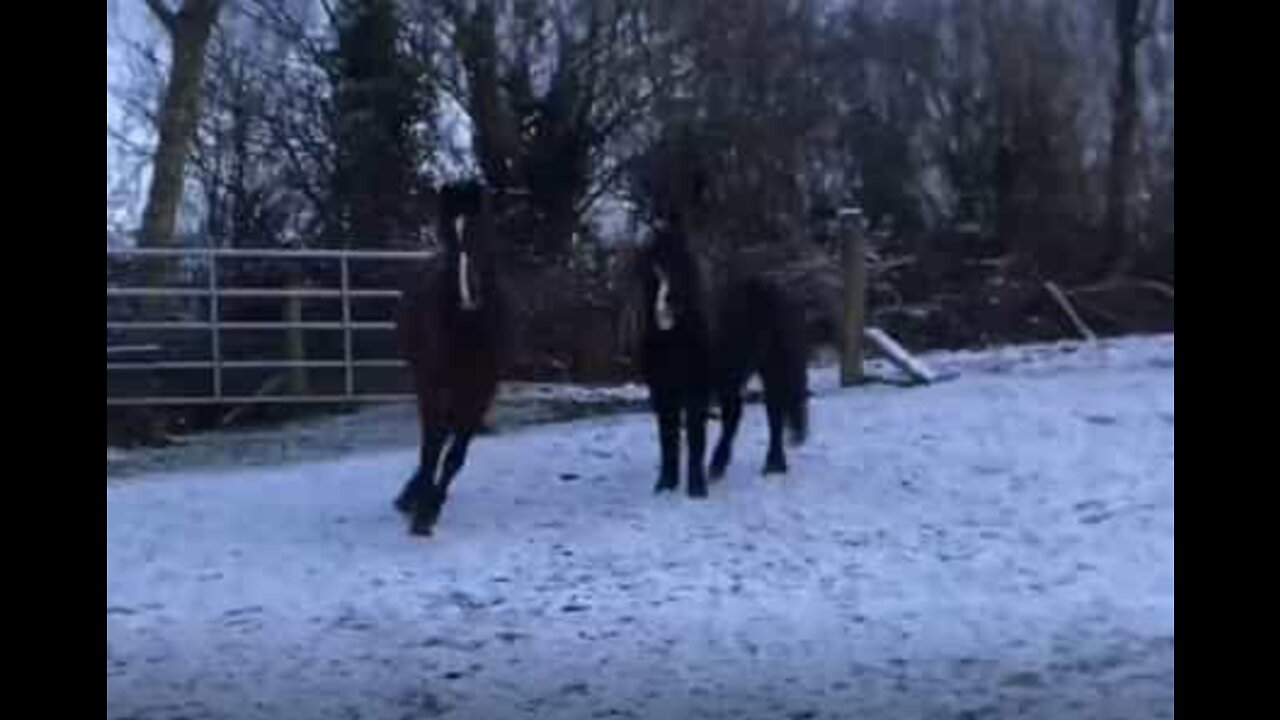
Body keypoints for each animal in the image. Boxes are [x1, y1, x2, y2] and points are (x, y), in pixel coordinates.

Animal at [394, 181, 504, 535]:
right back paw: (410, 494)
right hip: (425, 379)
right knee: (435, 434)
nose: (469, 295)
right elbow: (432, 445)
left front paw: (431, 507)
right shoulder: (433, 383)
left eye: (482, 231)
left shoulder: (482, 389)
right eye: (447, 235)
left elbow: (456, 453)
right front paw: (422, 512)